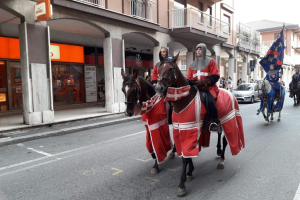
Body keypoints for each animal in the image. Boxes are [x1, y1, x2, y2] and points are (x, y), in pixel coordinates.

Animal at [155, 52, 244, 196]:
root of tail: (229, 91)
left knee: (226, 140)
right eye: (158, 69)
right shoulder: (181, 129)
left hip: (228, 120)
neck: (184, 100)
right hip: (218, 121)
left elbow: (185, 157)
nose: (158, 88)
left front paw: (182, 184)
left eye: (170, 69)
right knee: (219, 134)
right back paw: (218, 150)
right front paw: (190, 172)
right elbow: (186, 153)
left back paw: (221, 160)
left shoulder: (191, 128)